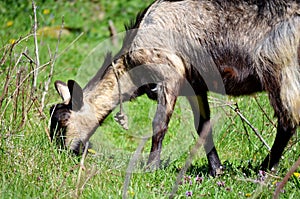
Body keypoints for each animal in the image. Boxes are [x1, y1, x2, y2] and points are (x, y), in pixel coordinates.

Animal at [49, 0, 300, 176]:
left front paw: (150, 168)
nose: (60, 153)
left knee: (287, 120)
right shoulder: (196, 85)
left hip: (279, 66)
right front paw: (216, 170)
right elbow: (203, 126)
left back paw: (264, 169)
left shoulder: (169, 75)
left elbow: (159, 124)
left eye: (63, 121)